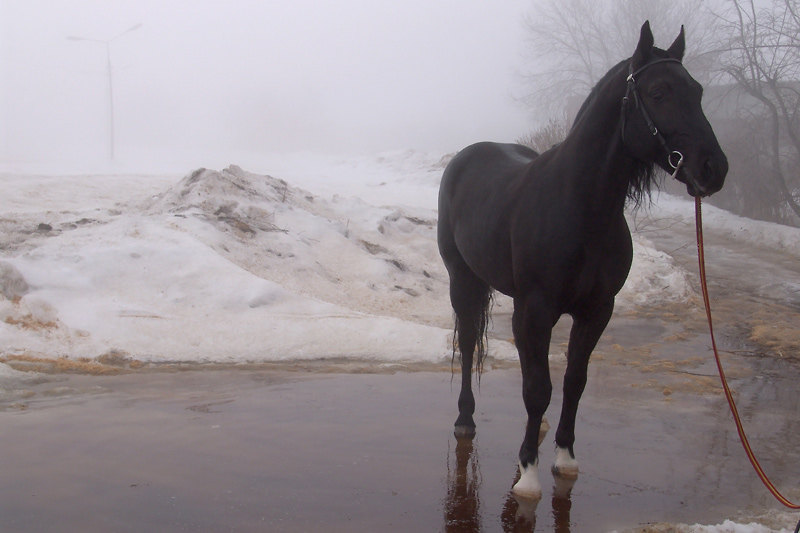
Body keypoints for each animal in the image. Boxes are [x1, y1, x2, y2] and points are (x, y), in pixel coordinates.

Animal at [438, 19, 724, 494]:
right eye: (659, 92)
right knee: (469, 340)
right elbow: (537, 388)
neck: (580, 207)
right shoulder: (534, 310)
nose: (714, 168)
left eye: (698, 91)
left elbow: (573, 381)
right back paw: (465, 419)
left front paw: (565, 457)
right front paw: (528, 474)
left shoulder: (596, 311)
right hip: (463, 280)